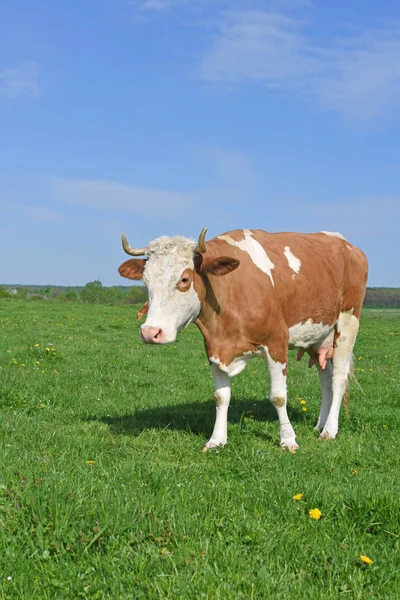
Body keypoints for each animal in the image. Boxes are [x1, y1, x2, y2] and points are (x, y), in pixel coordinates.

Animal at [119, 227, 368, 452]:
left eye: (184, 279)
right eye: (146, 281)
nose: (150, 332)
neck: (231, 290)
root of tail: (348, 245)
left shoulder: (277, 341)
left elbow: (278, 396)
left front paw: (288, 440)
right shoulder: (214, 346)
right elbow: (221, 396)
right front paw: (217, 440)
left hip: (347, 323)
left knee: (338, 379)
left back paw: (329, 430)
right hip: (318, 337)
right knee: (325, 380)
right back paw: (319, 425)